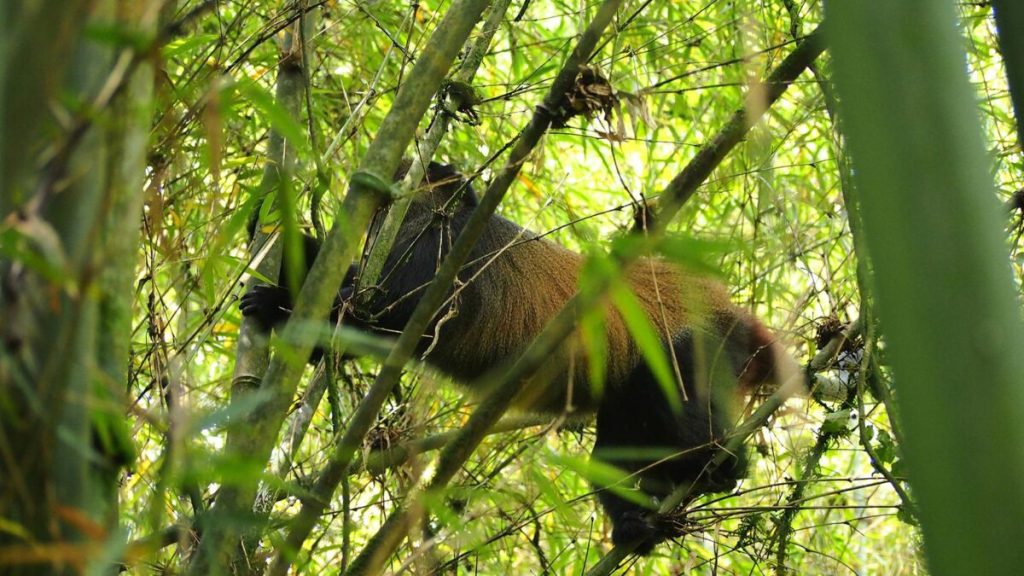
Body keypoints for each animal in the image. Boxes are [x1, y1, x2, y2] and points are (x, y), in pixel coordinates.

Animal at [240, 161, 803, 553]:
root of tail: (732, 310)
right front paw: (267, 235)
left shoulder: (438, 249)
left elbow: (393, 319)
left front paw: (283, 301)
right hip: (632, 391)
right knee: (613, 450)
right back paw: (636, 525)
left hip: (697, 346)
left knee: (686, 408)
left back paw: (723, 463)